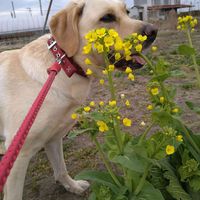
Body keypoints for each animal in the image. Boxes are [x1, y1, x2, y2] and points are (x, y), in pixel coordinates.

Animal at [0, 0, 157, 200]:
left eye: (127, 12)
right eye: (107, 17)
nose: (154, 31)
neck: (65, 64)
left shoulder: (53, 138)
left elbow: (61, 169)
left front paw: (72, 186)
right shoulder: (18, 156)